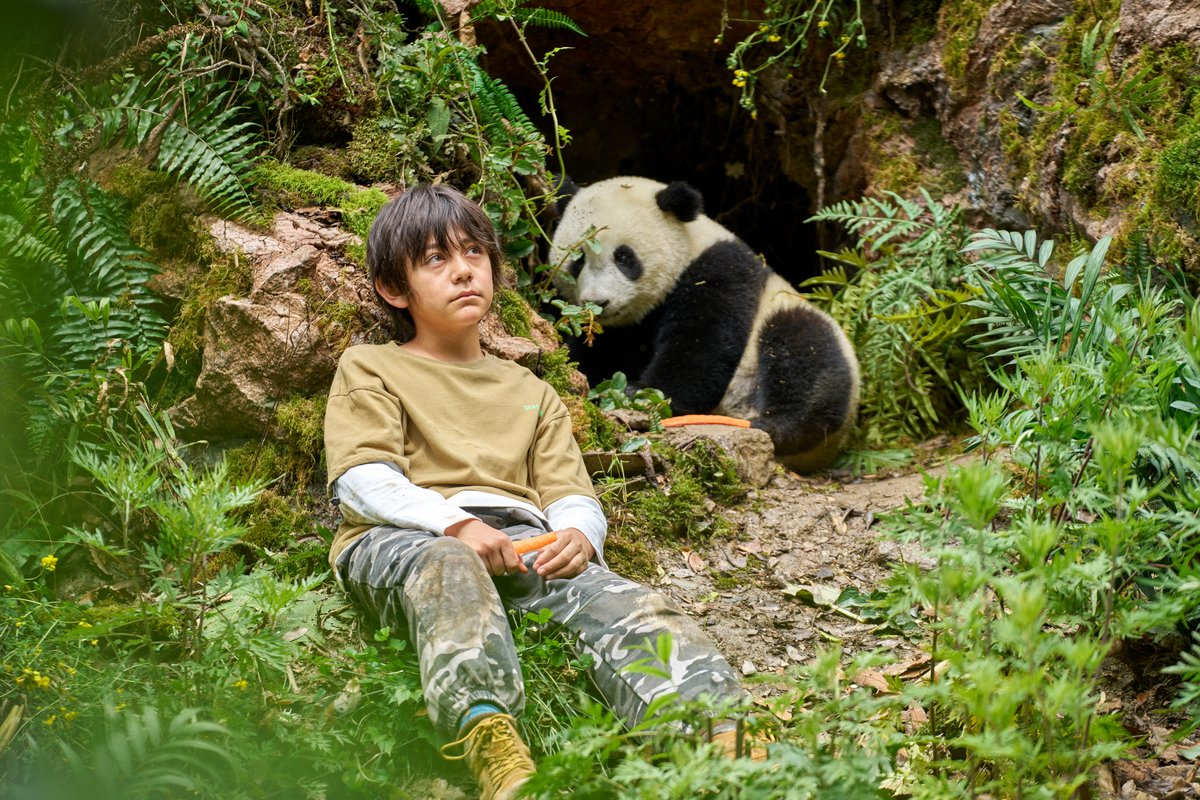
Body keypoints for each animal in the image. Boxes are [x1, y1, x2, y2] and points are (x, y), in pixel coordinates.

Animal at [549, 175, 860, 472]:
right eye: (577, 260)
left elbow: (702, 347)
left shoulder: (718, 270)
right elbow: (596, 351)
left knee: (806, 357)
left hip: (790, 322)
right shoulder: (616, 330)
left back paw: (771, 424)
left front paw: (641, 393)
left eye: (623, 257)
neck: (688, 243)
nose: (597, 302)